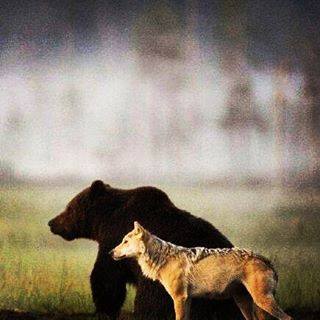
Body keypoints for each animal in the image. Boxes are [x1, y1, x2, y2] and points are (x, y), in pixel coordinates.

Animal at [47, 181, 244, 318]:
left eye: (69, 207)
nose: (51, 222)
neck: (105, 219)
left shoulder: (114, 240)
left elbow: (106, 277)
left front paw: (103, 310)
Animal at [110, 221, 292, 320]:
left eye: (125, 241)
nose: (110, 252)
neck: (163, 258)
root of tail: (264, 258)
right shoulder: (187, 299)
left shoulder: (179, 298)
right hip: (245, 303)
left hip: (262, 301)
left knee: (288, 317)